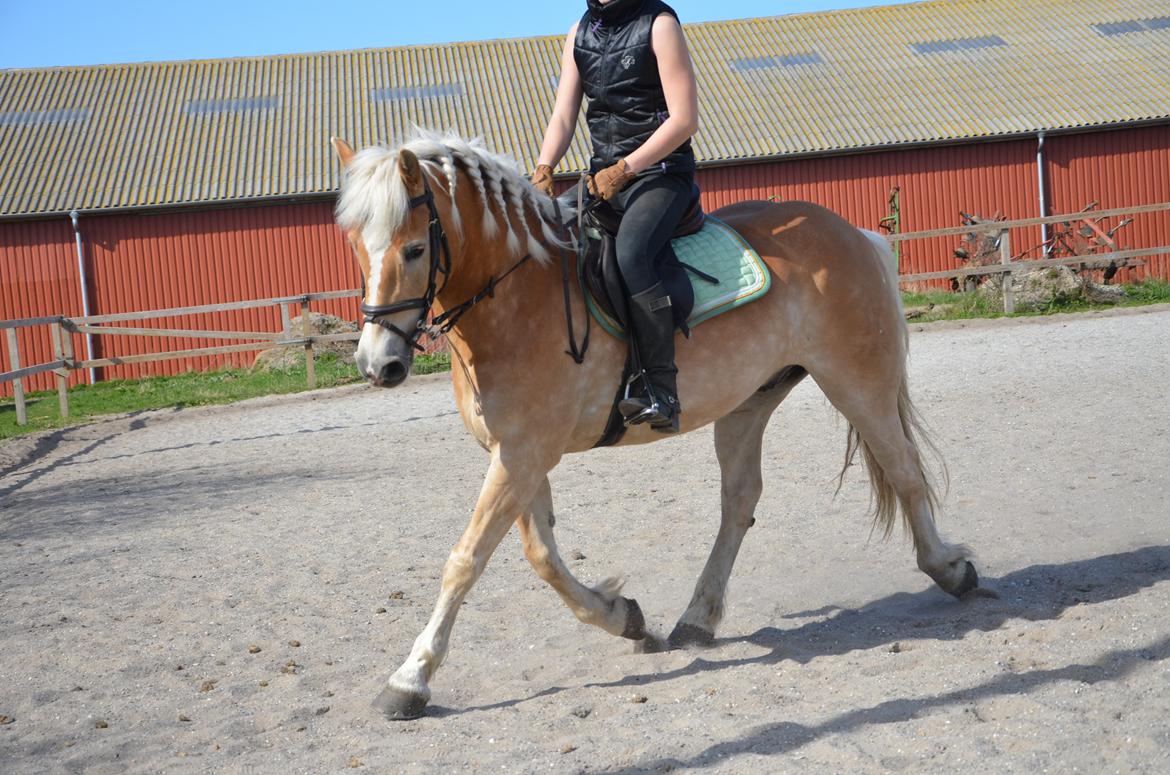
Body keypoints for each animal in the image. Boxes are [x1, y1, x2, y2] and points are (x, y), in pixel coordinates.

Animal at [329, 132, 978, 721]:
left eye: (415, 249)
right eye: (358, 247)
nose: (378, 365)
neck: (514, 297)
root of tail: (853, 233)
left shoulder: (523, 451)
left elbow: (466, 559)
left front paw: (409, 680)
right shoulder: (519, 453)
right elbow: (542, 555)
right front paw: (626, 619)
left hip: (857, 381)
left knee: (904, 469)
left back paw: (951, 571)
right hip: (748, 402)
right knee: (740, 502)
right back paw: (696, 618)